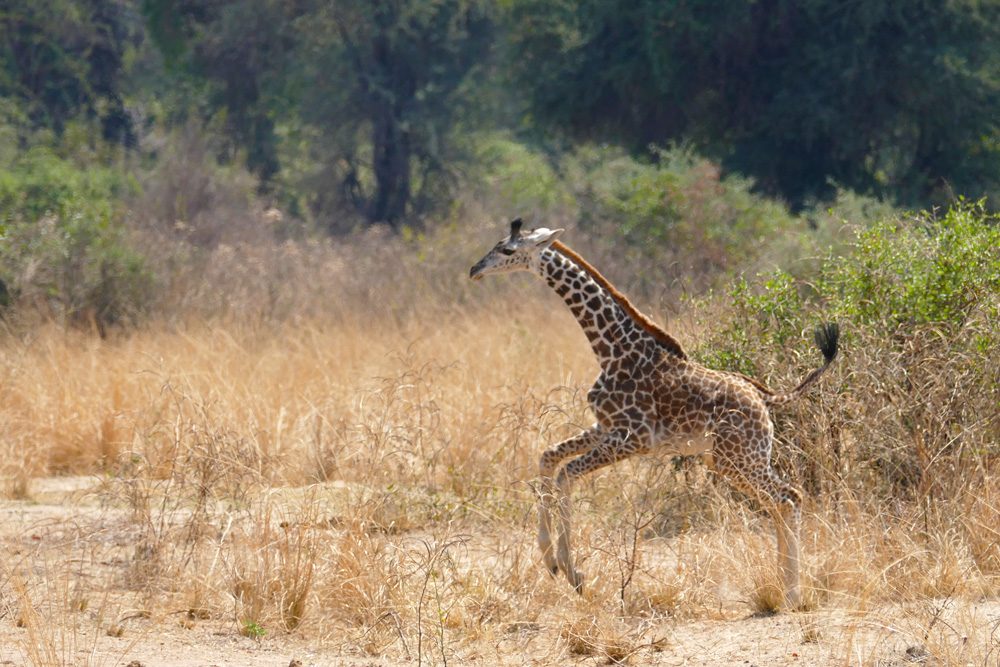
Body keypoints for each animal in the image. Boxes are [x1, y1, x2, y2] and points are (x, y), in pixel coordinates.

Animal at [468, 220, 836, 612]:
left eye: (508, 250)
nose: (475, 270)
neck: (611, 350)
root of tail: (765, 398)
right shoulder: (605, 427)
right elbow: (548, 457)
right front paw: (552, 562)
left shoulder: (633, 438)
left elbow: (566, 474)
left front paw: (572, 572)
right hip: (731, 459)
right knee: (783, 501)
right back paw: (784, 588)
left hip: (738, 458)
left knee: (789, 498)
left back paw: (793, 594)